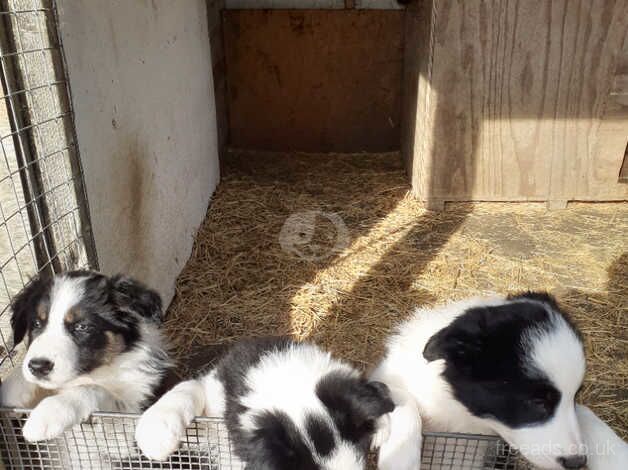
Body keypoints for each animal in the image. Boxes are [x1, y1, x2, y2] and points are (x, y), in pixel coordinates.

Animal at [0, 270, 172, 442]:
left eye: (82, 327)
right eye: (36, 323)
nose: (38, 367)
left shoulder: (130, 411)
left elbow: (91, 388)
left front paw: (48, 414)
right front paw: (10, 390)